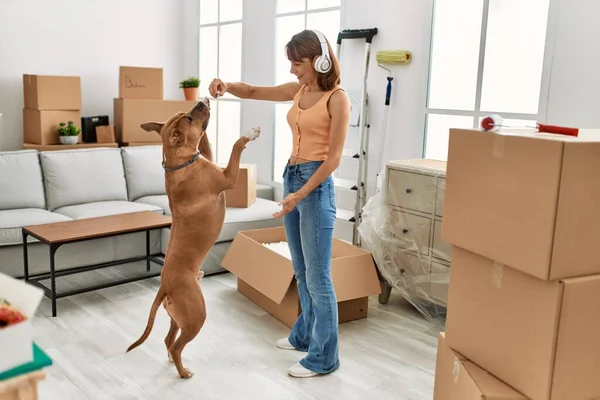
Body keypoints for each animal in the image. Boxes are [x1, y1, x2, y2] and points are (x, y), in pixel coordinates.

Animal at [125, 97, 258, 378]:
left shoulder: (210, 158)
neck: (180, 163)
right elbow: (235, 146)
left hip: (179, 317)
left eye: (183, 113)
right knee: (176, 346)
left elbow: (207, 143)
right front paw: (249, 134)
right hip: (197, 316)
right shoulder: (227, 177)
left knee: (168, 340)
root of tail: (164, 286)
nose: (199, 101)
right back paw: (183, 372)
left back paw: (173, 361)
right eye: (187, 118)